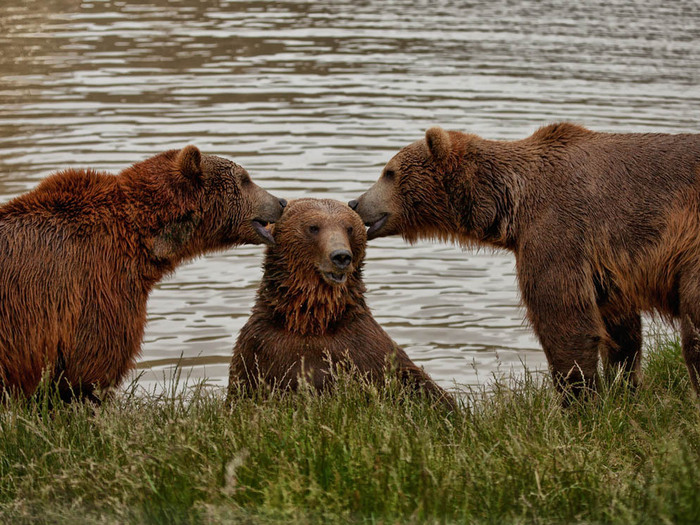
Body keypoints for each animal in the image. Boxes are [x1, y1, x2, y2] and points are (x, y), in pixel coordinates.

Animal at [227, 199, 452, 408]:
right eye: (313, 227)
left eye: (349, 228)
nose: (341, 256)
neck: (312, 321)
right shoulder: (259, 347)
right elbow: (241, 391)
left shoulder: (365, 347)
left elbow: (421, 386)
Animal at [350, 124, 700, 402]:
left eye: (389, 172)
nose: (355, 202)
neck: (510, 204)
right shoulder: (606, 267)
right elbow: (619, 329)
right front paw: (622, 389)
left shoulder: (558, 229)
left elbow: (564, 320)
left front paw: (579, 402)